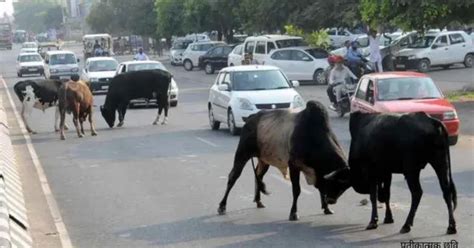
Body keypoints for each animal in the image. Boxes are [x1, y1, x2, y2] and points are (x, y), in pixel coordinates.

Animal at [218, 100, 352, 220]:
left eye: (344, 186)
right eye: (336, 182)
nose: (331, 201)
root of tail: (251, 118)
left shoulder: (318, 172)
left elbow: (321, 189)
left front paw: (327, 208)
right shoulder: (294, 165)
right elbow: (297, 190)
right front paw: (294, 213)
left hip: (264, 160)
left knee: (258, 175)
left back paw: (258, 201)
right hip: (242, 154)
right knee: (233, 177)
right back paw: (222, 206)